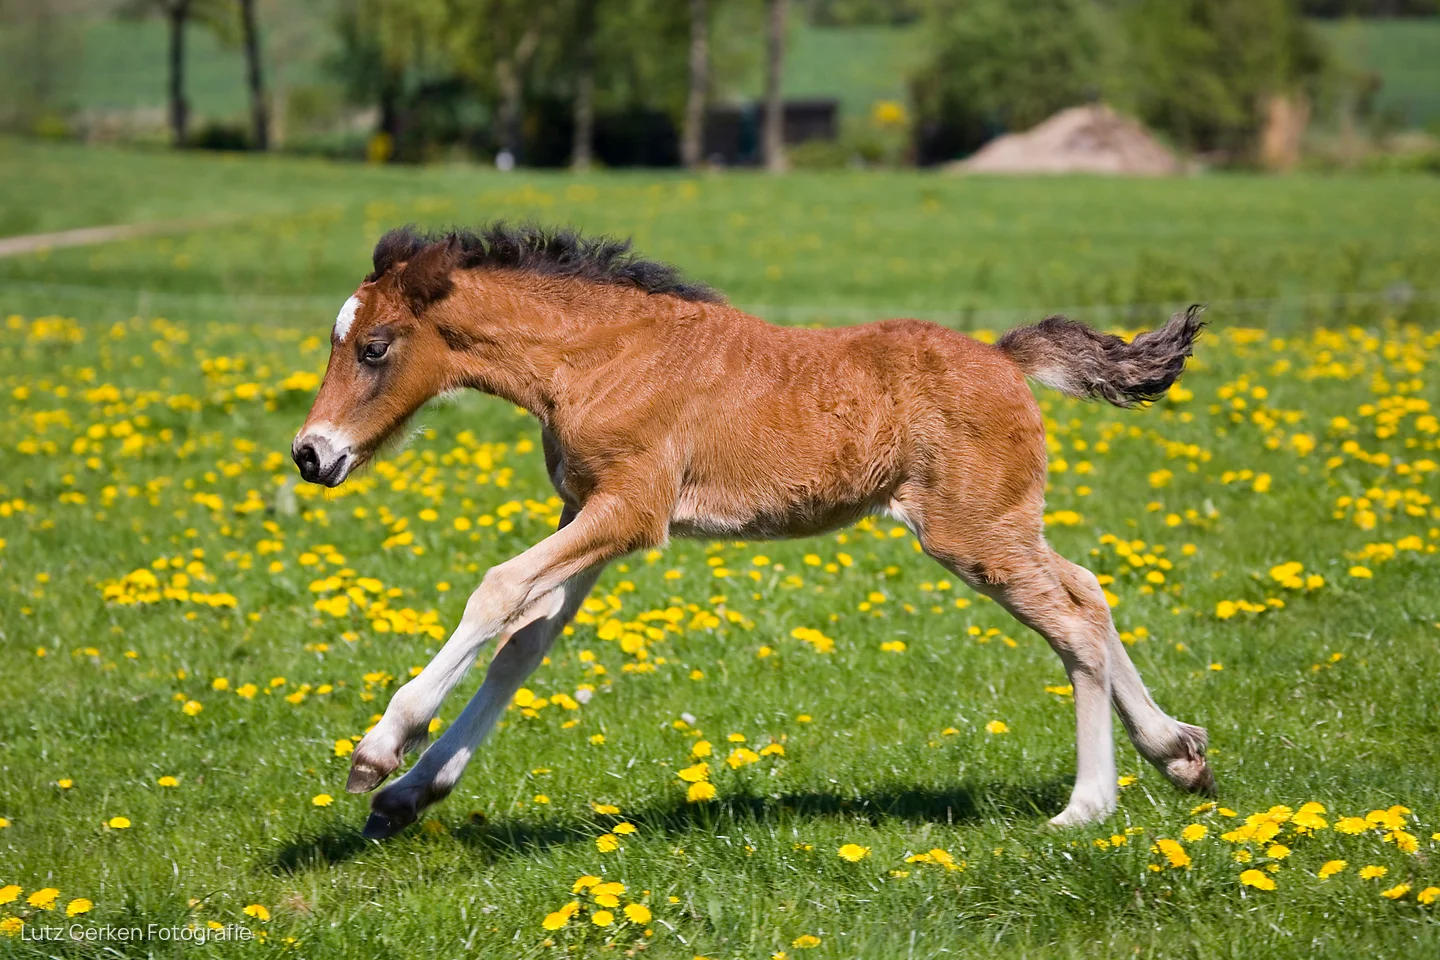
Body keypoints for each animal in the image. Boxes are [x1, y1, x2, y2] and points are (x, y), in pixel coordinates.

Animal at [292, 222, 1214, 840]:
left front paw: (379, 751)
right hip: (1000, 525)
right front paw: (409, 794)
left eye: (374, 347)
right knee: (1088, 592)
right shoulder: (587, 511)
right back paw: (1178, 751)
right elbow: (522, 645)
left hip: (972, 534)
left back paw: (1087, 806)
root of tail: (1005, 358)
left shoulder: (631, 510)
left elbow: (497, 592)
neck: (595, 357)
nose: (311, 454)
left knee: (1073, 626)